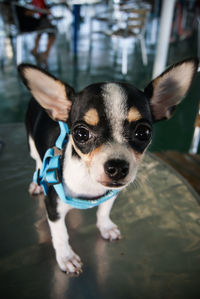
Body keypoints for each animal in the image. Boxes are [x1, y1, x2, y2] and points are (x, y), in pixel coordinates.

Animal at [18, 58, 198, 274]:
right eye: (80, 134)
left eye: (143, 133)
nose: (117, 167)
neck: (89, 183)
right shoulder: (53, 207)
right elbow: (61, 234)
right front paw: (66, 257)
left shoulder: (110, 194)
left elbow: (103, 211)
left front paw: (105, 227)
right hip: (32, 145)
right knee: (38, 160)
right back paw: (37, 183)